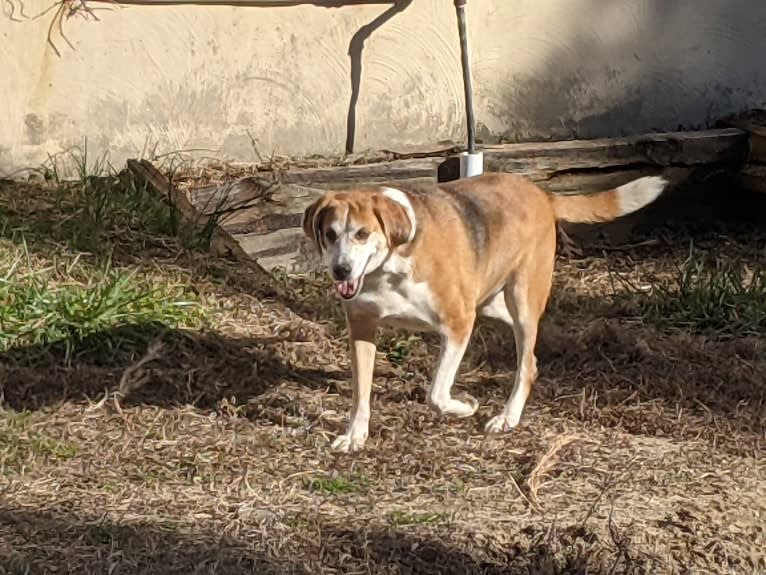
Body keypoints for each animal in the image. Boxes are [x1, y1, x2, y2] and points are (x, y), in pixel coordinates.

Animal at [300, 173, 664, 452]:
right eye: (330, 234)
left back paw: (508, 417)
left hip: (521, 302)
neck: (391, 265)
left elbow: (436, 394)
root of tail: (540, 193)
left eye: (362, 234)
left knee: (528, 364)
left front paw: (464, 407)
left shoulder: (458, 324)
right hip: (492, 303)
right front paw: (354, 436)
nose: (341, 270)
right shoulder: (362, 327)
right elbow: (361, 394)